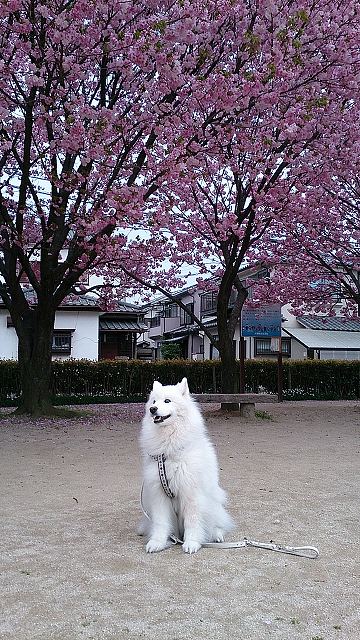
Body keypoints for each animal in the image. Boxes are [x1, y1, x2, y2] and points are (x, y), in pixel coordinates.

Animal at [138, 378, 233, 552]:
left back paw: (217, 536)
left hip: (213, 506)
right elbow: (161, 523)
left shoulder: (191, 494)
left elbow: (192, 521)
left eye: (167, 401)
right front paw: (157, 542)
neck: (168, 453)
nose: (152, 409)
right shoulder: (159, 495)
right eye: (153, 401)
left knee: (217, 525)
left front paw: (192, 543)